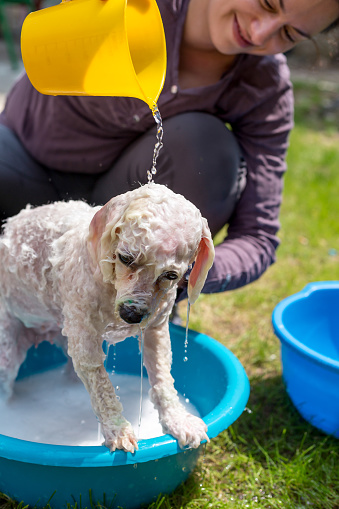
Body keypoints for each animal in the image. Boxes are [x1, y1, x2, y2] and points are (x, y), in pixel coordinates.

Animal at [0, 184, 215, 452]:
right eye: (125, 258)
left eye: (170, 275)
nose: (131, 314)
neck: (111, 284)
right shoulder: (84, 331)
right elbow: (101, 384)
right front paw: (118, 430)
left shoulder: (155, 328)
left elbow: (162, 376)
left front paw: (177, 420)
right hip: (8, 347)